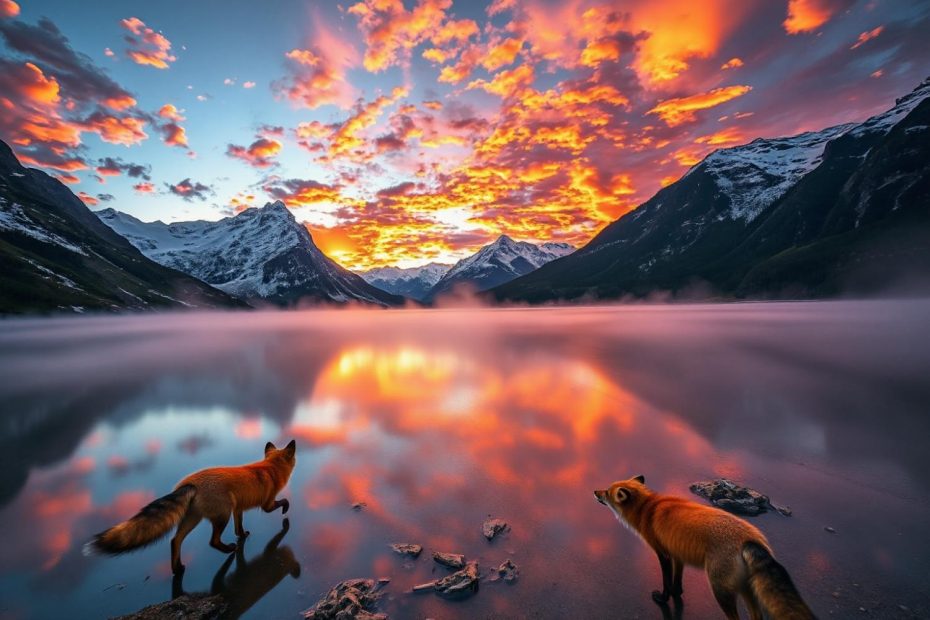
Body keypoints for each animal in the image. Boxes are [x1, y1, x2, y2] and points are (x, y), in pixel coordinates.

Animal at [84, 440, 296, 575]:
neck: (271, 468)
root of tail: (190, 483)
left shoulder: (238, 509)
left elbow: (239, 527)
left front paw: (243, 535)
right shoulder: (266, 504)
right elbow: (284, 502)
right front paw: (285, 513)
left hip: (193, 519)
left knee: (175, 540)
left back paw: (177, 569)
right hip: (221, 516)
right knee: (212, 542)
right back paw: (229, 549)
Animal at [594, 475, 815, 620]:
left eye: (607, 492)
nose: (594, 491)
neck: (648, 508)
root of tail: (751, 539)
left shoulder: (663, 553)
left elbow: (666, 582)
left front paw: (664, 599)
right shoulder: (677, 552)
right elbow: (677, 580)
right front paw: (677, 593)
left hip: (720, 590)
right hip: (746, 590)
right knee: (756, 616)